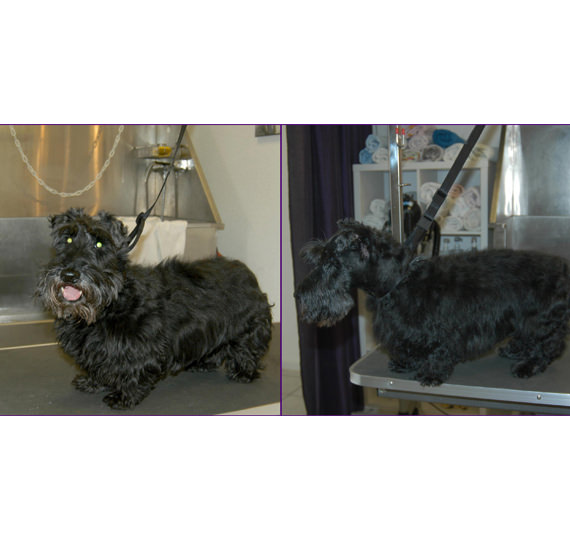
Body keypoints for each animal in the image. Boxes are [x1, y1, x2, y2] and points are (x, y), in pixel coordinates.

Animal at [36, 208, 272, 409]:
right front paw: (93, 382)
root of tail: (246, 271)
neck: (112, 303)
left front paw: (124, 396)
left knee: (246, 348)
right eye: (67, 238)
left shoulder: (139, 345)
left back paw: (244, 372)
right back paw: (204, 363)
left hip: (248, 326)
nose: (69, 275)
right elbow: (99, 365)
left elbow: (131, 369)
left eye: (100, 244)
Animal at [295, 219, 570, 386]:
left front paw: (431, 373)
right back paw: (516, 350)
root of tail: (563, 267)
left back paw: (529, 365)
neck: (399, 282)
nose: (298, 294)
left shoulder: (446, 330)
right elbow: (410, 347)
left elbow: (439, 351)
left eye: (331, 263)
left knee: (550, 345)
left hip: (542, 320)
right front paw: (406, 363)